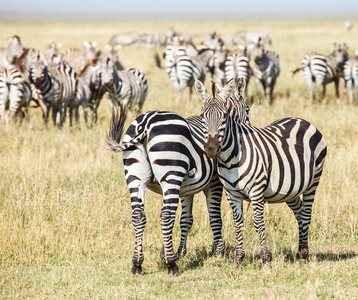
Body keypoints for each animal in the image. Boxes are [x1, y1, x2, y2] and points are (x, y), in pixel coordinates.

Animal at [196, 77, 328, 264]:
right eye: (202, 116)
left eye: (224, 116)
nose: (212, 149)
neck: (230, 158)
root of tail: (301, 120)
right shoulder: (232, 193)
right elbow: (238, 224)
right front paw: (239, 257)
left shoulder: (256, 190)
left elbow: (258, 223)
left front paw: (265, 258)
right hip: (290, 189)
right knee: (300, 211)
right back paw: (300, 250)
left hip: (313, 180)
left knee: (307, 213)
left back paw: (303, 253)